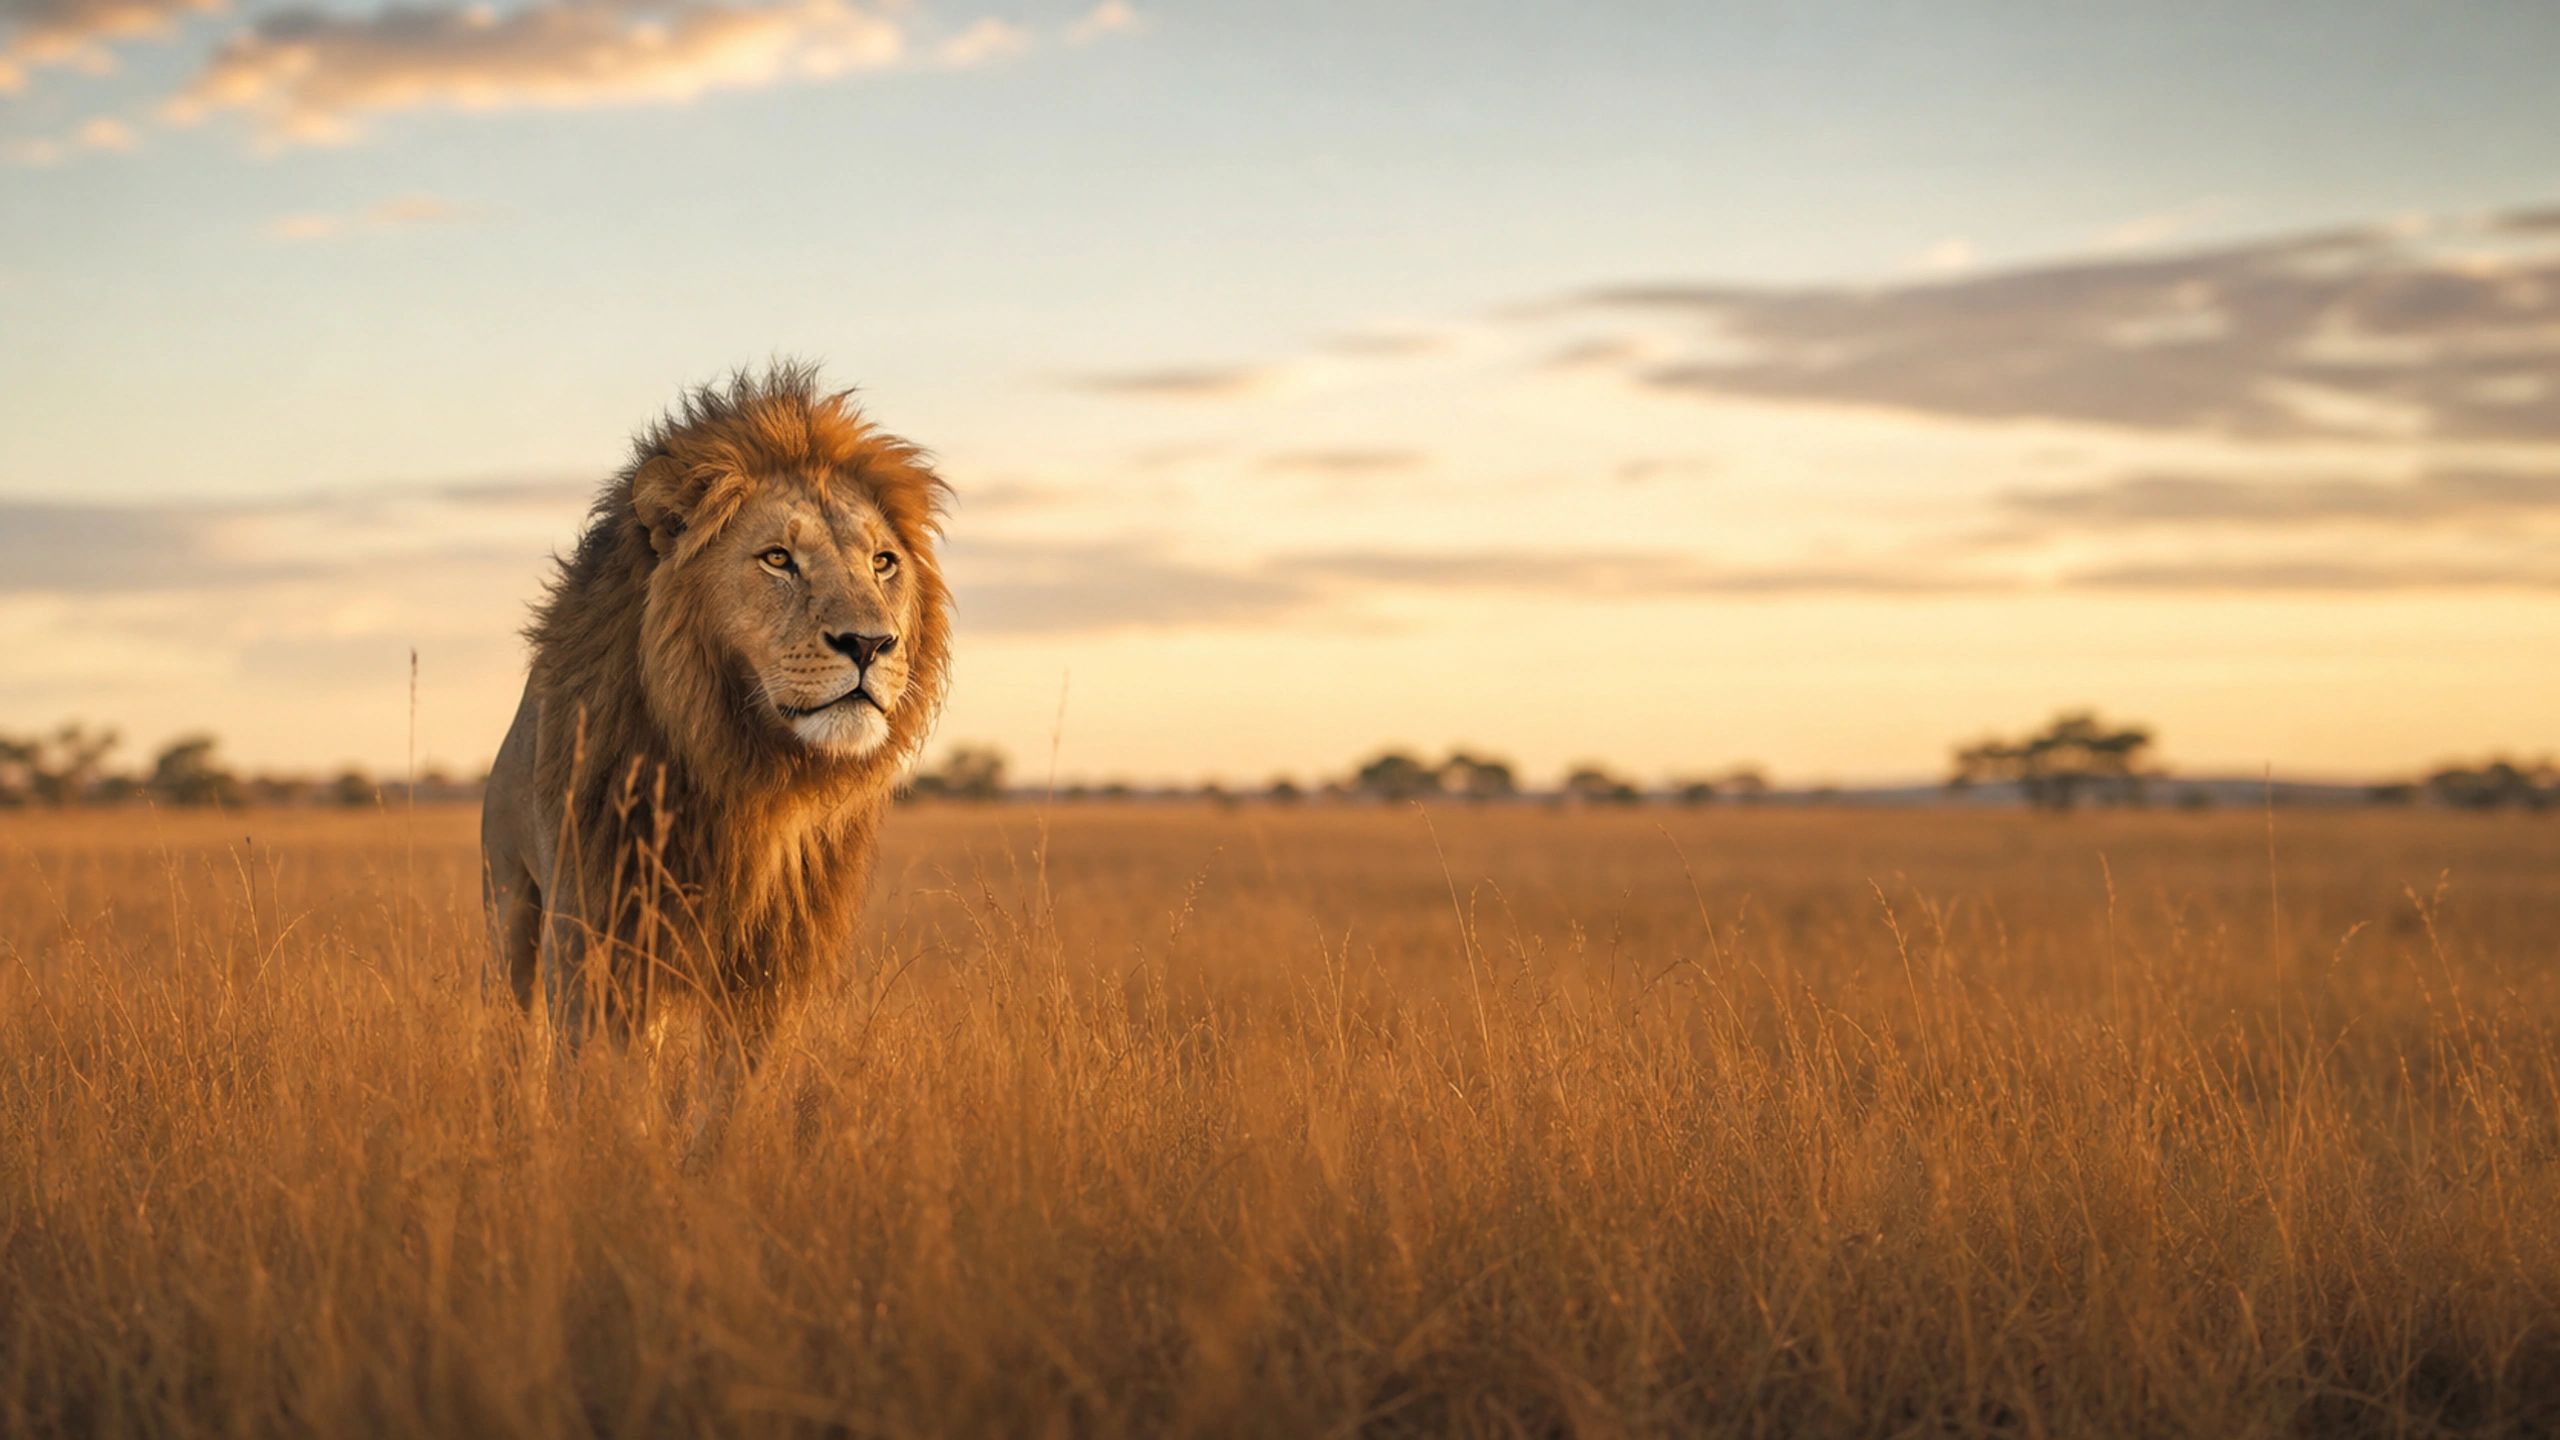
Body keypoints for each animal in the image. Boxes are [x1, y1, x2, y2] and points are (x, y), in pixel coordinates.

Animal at [480, 364, 951, 1155]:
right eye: (778, 559)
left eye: (883, 563)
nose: (870, 644)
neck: (746, 765)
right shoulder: (596, 925)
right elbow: (597, 1076)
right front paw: (607, 1157)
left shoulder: (768, 956)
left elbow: (734, 1095)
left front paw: (711, 1168)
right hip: (510, 899)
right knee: (515, 1033)